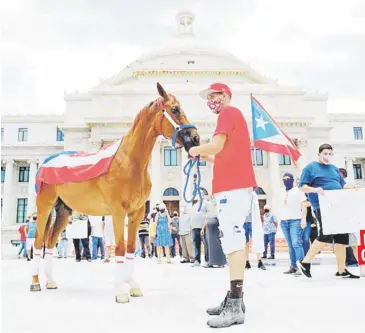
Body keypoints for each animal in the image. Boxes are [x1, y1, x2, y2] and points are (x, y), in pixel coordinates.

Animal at [31, 82, 200, 300]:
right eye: (175, 109)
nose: (196, 138)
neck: (128, 162)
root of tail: (46, 162)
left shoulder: (137, 212)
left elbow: (130, 248)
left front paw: (132, 285)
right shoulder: (118, 212)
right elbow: (119, 247)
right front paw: (120, 291)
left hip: (63, 210)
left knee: (50, 241)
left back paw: (50, 281)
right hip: (44, 206)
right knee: (38, 241)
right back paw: (35, 282)